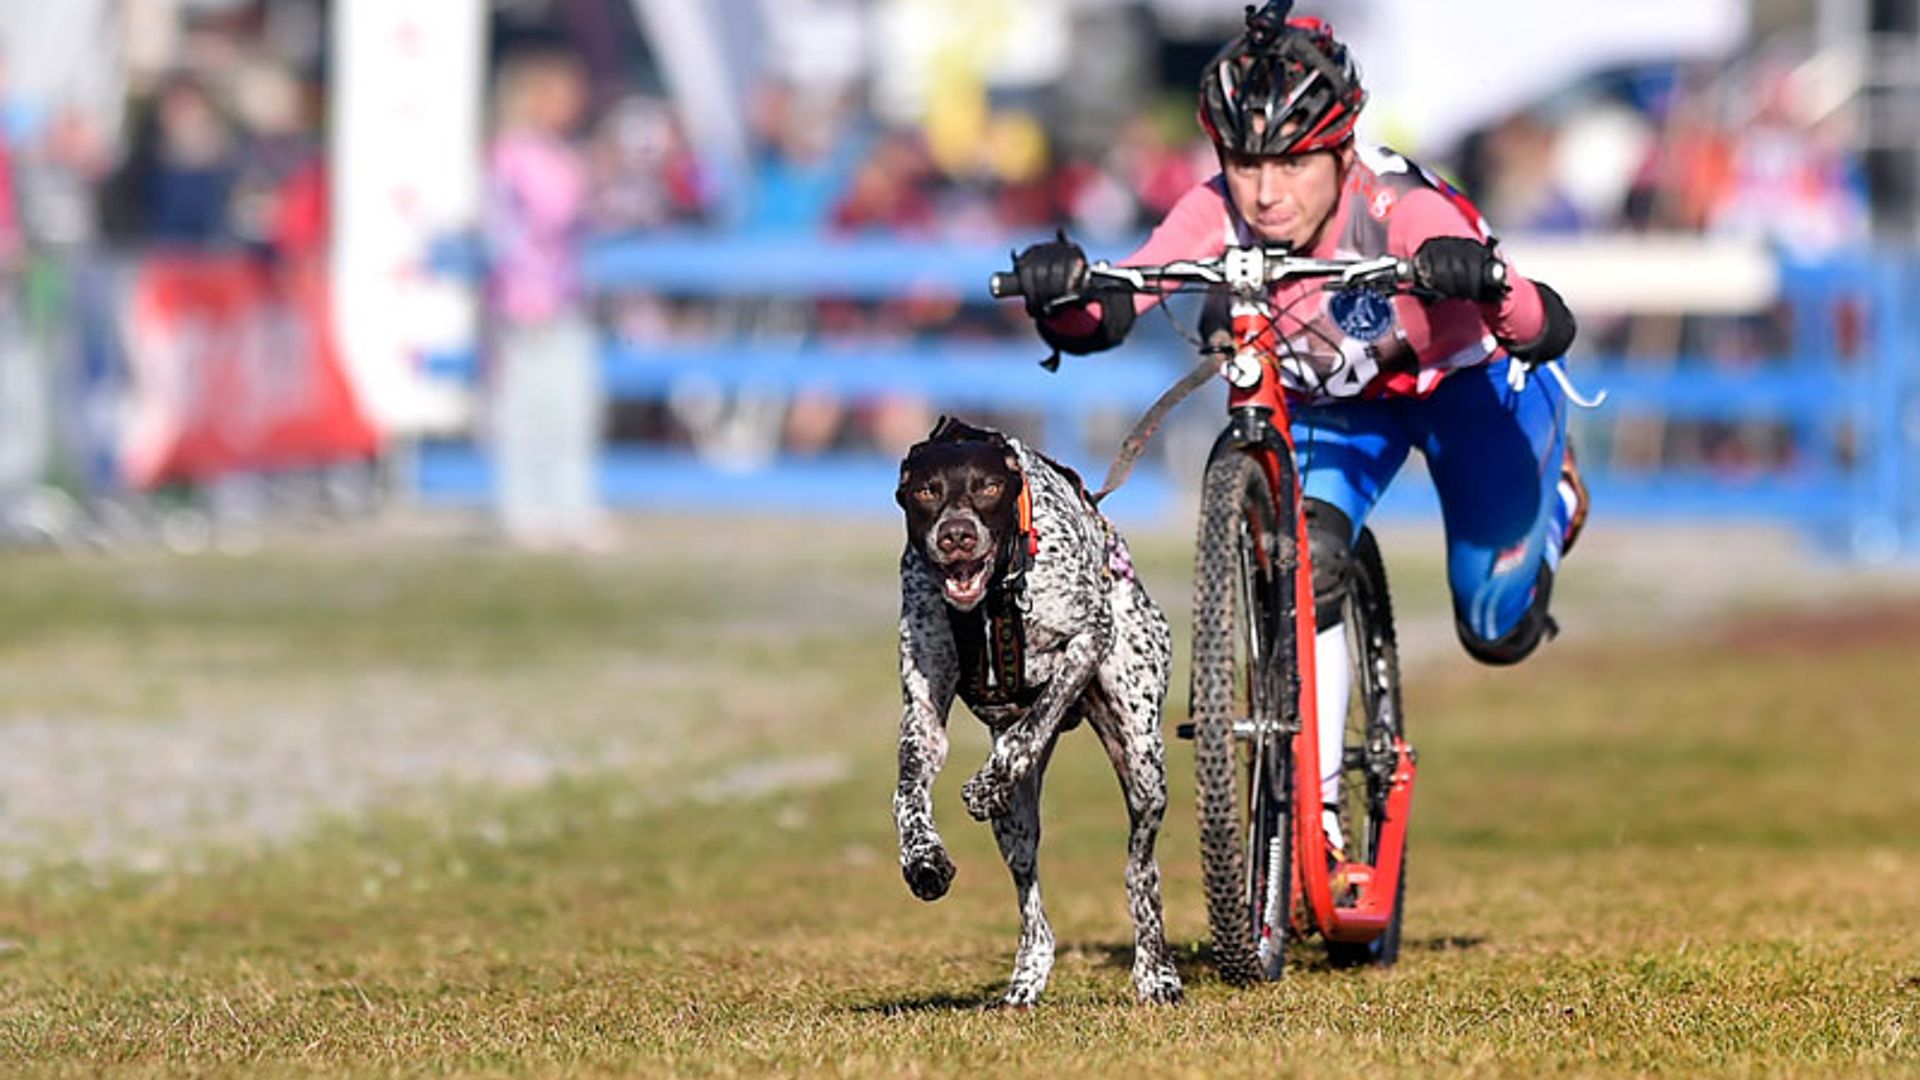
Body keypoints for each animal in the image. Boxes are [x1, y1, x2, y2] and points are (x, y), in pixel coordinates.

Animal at [890, 417, 1175, 1006]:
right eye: (928, 491)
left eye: (987, 487)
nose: (956, 534)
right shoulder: (923, 712)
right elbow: (908, 793)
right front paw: (923, 858)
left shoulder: (1087, 641)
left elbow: (1032, 725)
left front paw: (983, 784)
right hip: (1017, 826)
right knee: (1031, 899)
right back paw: (1028, 973)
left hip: (1142, 762)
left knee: (1141, 871)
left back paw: (1157, 973)